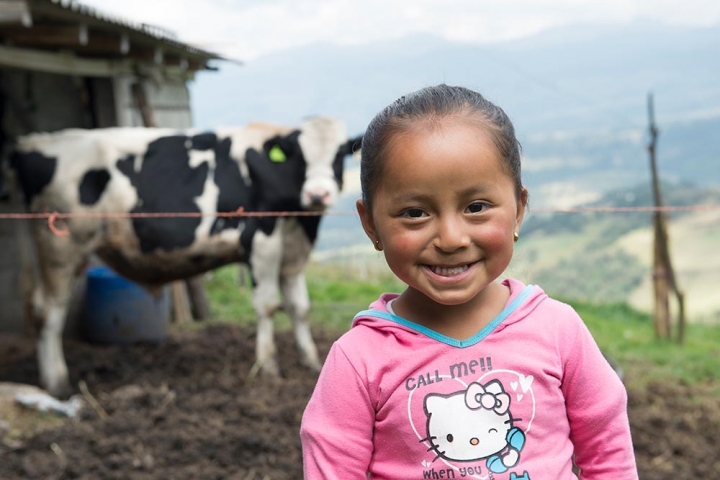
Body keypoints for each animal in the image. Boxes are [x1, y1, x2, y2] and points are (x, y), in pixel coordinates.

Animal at [11, 116, 360, 398]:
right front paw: (268, 366)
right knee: (48, 309)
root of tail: (34, 141)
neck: (300, 219)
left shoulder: (293, 249)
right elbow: (269, 305)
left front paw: (311, 360)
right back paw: (57, 382)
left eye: (340, 153)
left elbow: (300, 307)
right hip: (60, 246)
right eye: (301, 156)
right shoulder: (262, 240)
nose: (318, 194)